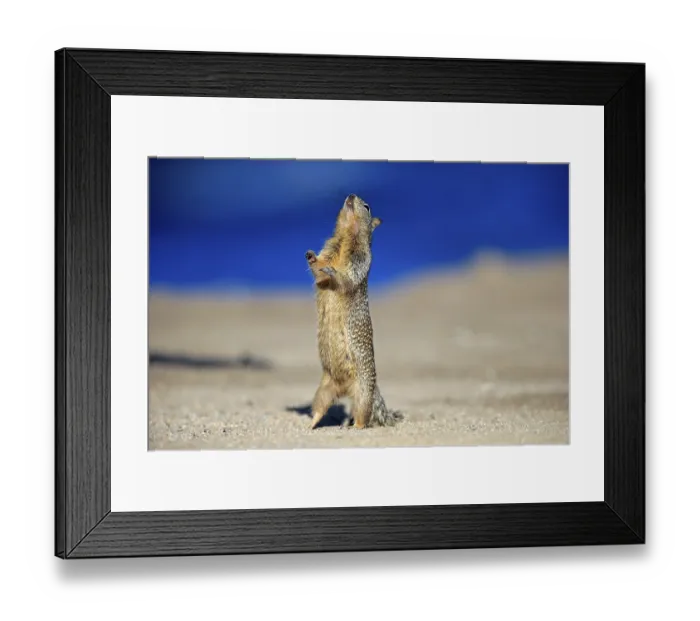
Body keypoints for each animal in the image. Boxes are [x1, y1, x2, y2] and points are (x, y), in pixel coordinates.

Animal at [305, 194, 402, 429]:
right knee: (320, 407)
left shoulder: (359, 260)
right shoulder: (329, 250)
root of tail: (344, 387)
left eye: (366, 206)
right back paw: (311, 425)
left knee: (362, 416)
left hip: (363, 393)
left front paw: (333, 272)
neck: (347, 237)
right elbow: (320, 271)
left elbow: (346, 277)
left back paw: (354, 427)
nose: (350, 195)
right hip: (324, 389)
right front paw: (312, 257)